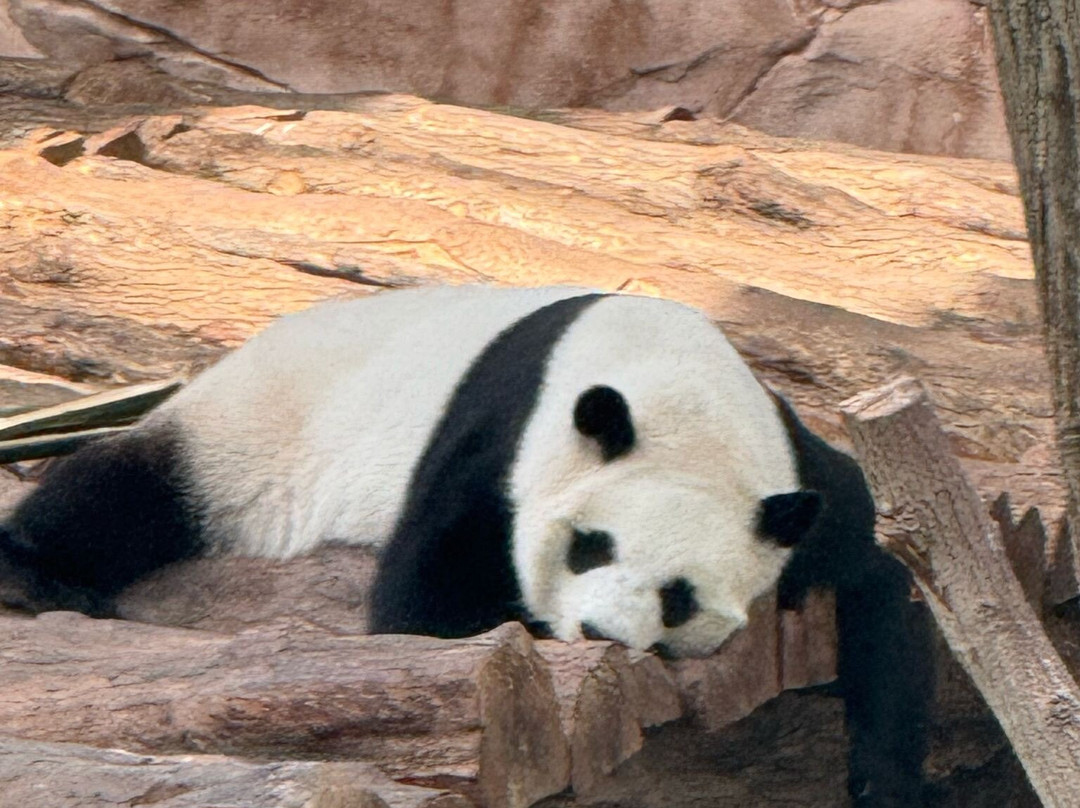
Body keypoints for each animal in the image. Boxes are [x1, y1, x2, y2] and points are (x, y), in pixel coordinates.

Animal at [0, 285, 931, 806]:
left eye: (680, 595)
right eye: (591, 547)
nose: (599, 635)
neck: (674, 390)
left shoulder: (798, 480)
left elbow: (889, 586)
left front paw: (885, 779)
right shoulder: (504, 445)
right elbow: (424, 607)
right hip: (259, 423)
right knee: (133, 489)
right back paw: (34, 575)